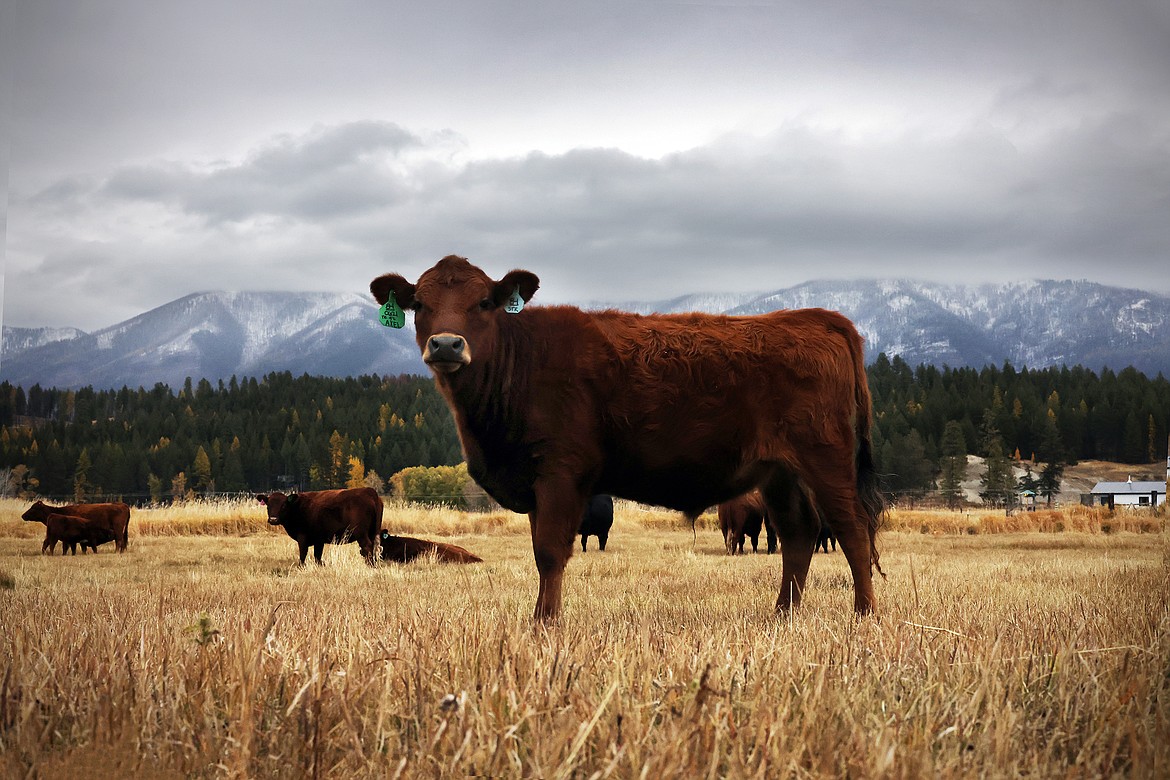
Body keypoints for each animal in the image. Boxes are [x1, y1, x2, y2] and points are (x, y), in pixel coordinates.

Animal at [369, 256, 879, 622]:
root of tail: (818, 318)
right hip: (779, 474)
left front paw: (545, 624)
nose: (446, 344)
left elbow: (550, 551)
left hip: (825, 459)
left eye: (483, 303)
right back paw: (783, 615)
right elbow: (540, 551)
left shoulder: (560, 472)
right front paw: (539, 617)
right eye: (419, 304)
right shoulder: (535, 481)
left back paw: (864, 615)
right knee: (798, 534)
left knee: (852, 529)